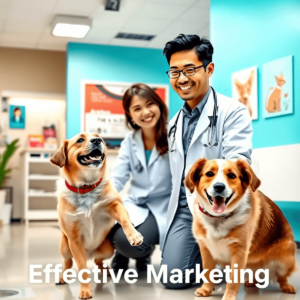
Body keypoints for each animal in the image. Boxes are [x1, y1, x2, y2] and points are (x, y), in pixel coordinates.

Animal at [49, 134, 144, 300]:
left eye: (99, 137)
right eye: (80, 140)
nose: (97, 141)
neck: (86, 187)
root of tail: (89, 252)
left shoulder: (114, 205)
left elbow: (125, 219)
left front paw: (133, 235)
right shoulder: (74, 239)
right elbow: (82, 268)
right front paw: (85, 290)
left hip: (107, 249)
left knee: (98, 260)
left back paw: (106, 270)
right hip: (65, 248)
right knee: (68, 262)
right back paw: (63, 276)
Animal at [184, 158, 296, 298]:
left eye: (232, 175)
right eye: (209, 173)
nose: (219, 187)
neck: (219, 218)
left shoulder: (240, 251)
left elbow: (233, 280)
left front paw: (229, 296)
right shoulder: (205, 248)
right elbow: (208, 272)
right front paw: (206, 289)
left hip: (285, 259)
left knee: (282, 278)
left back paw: (287, 287)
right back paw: (252, 281)